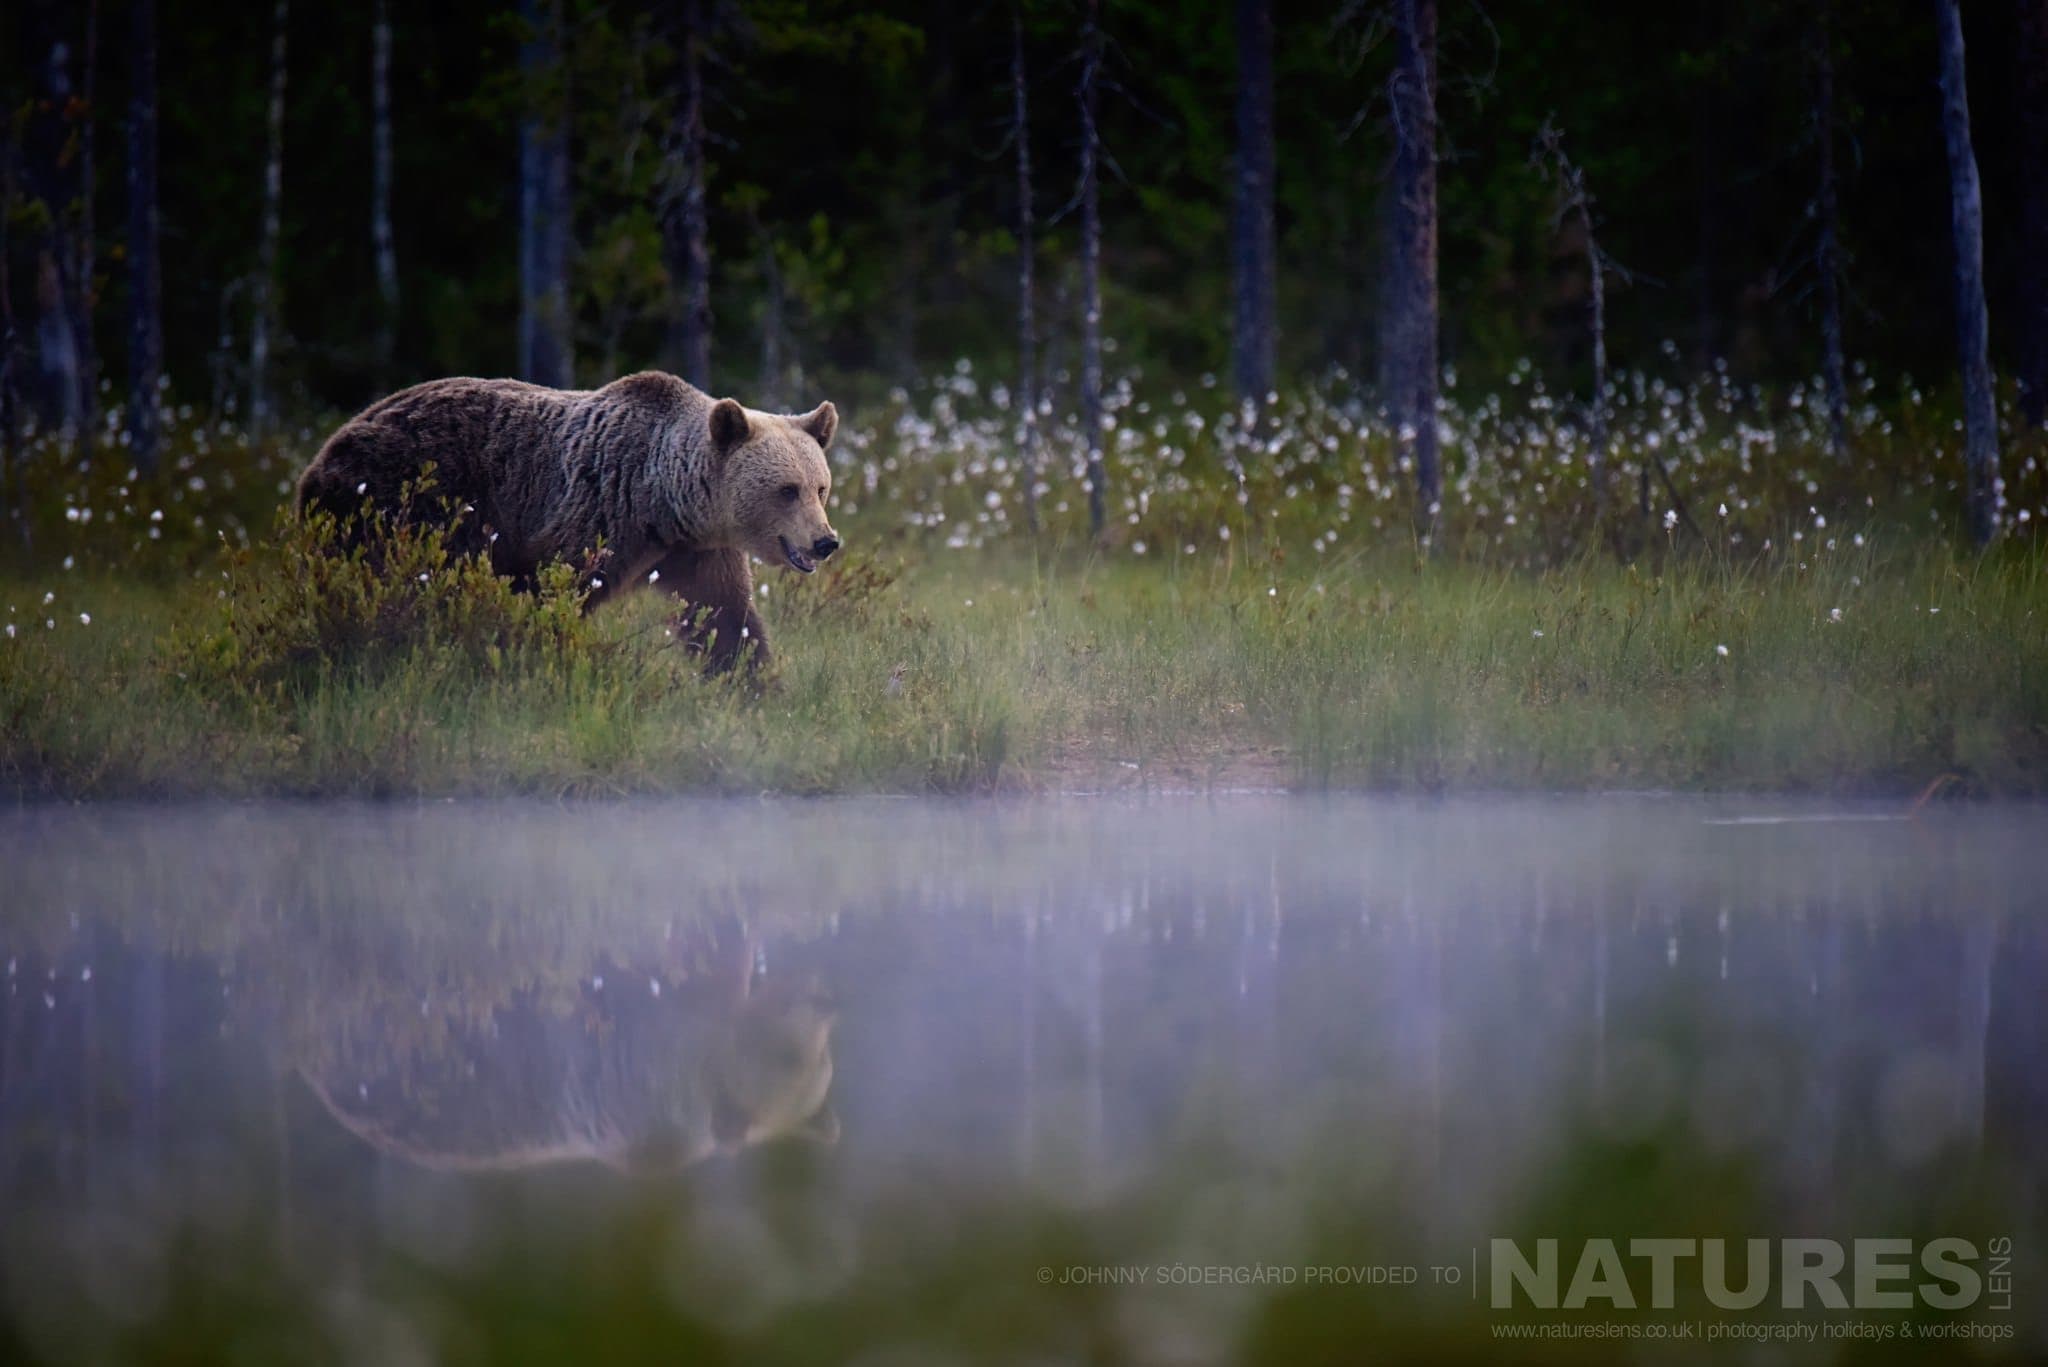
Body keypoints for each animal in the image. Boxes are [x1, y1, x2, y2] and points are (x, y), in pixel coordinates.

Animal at [295, 371, 841, 672]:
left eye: (820, 486)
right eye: (785, 489)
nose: (825, 541)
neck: (664, 505)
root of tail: (325, 450)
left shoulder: (696, 552)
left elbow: (725, 617)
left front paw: (752, 683)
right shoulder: (588, 519)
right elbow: (548, 595)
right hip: (400, 505)